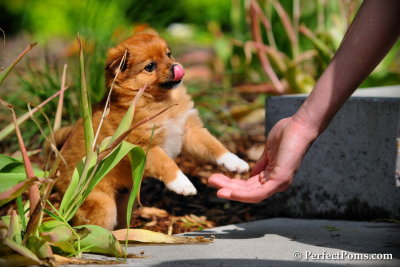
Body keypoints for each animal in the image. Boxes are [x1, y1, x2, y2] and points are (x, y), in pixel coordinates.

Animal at [55, 31, 247, 231]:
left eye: (169, 54)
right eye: (150, 67)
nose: (177, 67)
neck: (162, 102)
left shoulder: (189, 131)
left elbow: (213, 145)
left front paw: (235, 161)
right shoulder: (145, 146)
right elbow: (166, 164)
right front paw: (182, 183)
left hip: (125, 198)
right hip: (103, 205)